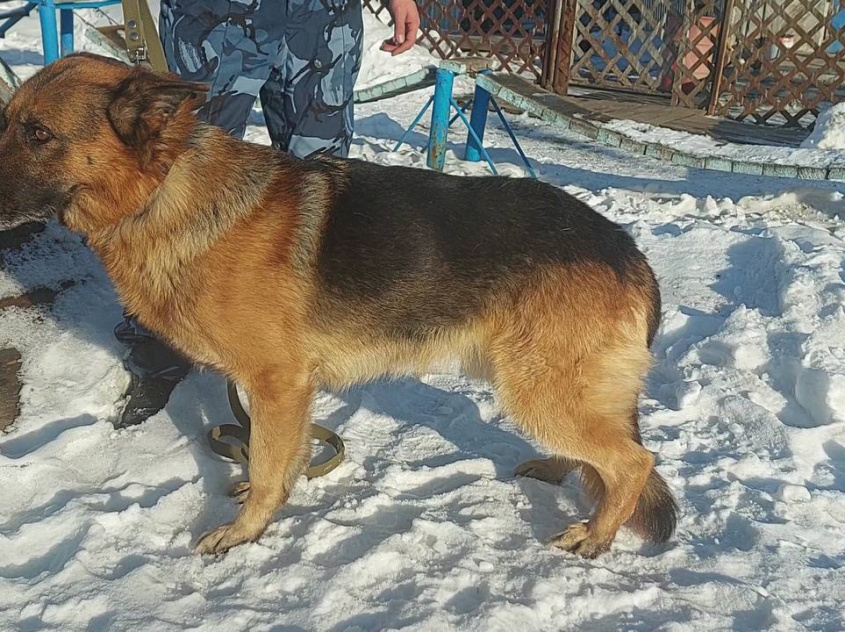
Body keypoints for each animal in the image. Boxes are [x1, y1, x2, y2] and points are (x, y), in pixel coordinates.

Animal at [0, 55, 676, 556]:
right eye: (8, 123)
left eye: (39, 134)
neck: (164, 192)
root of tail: (630, 253)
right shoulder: (286, 392)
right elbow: (279, 457)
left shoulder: (278, 384)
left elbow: (269, 463)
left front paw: (245, 533)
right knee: (604, 453)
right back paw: (561, 474)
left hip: (540, 388)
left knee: (634, 461)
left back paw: (595, 536)